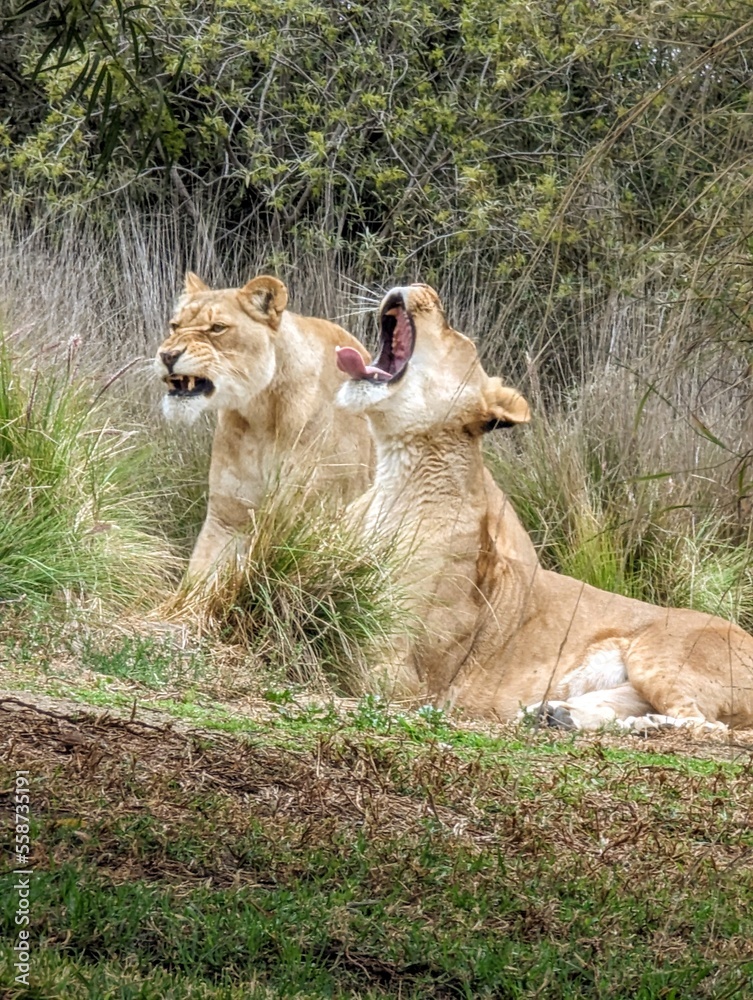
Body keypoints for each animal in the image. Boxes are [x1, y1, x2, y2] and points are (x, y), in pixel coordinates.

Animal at [156, 272, 373, 580]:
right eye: (175, 326)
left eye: (217, 328)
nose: (167, 355)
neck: (261, 415)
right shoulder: (227, 517)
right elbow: (198, 578)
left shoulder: (310, 518)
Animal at [336, 283, 753, 731]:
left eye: (452, 333)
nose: (423, 287)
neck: (394, 477)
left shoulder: (405, 672)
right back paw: (558, 713)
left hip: (660, 652)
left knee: (705, 724)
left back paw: (637, 727)